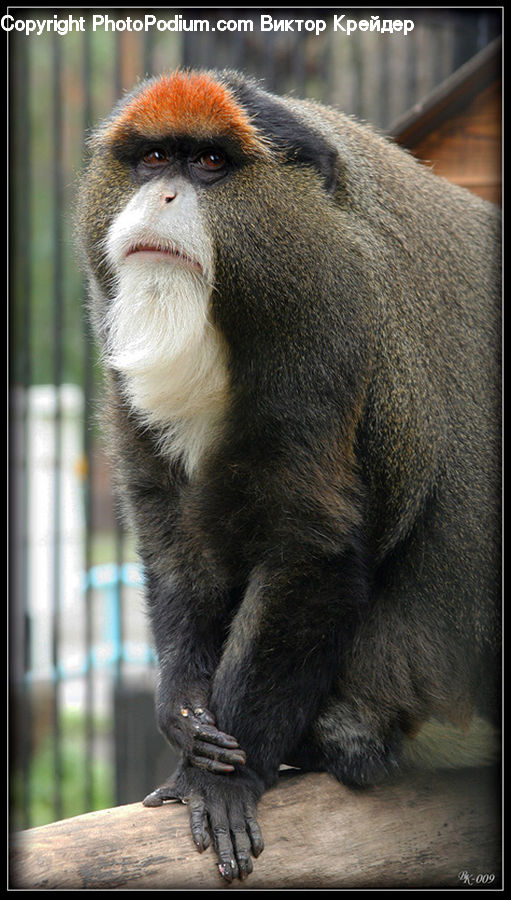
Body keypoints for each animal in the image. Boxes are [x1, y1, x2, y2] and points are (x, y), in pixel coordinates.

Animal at [75, 69, 501, 882]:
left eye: (210, 164)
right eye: (153, 158)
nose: (164, 196)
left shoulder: (326, 328)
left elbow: (314, 553)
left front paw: (224, 783)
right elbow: (173, 541)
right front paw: (184, 716)